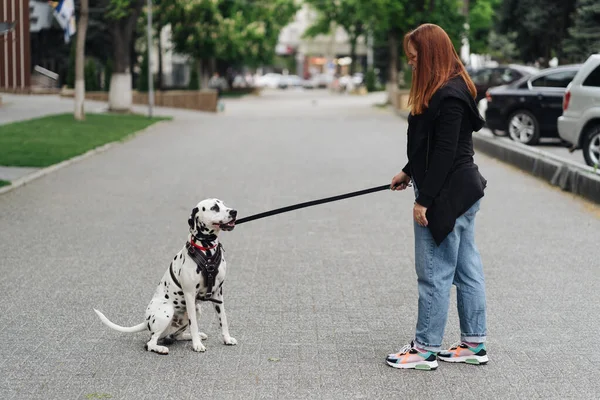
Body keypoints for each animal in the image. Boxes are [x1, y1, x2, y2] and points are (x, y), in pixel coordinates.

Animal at [94, 199, 237, 354]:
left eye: (223, 204)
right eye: (214, 208)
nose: (234, 212)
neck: (206, 250)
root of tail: (146, 321)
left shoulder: (218, 294)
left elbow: (223, 320)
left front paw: (227, 339)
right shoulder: (189, 294)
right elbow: (194, 324)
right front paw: (197, 345)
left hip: (196, 310)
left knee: (175, 336)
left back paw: (193, 336)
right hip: (167, 311)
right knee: (150, 342)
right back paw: (161, 348)